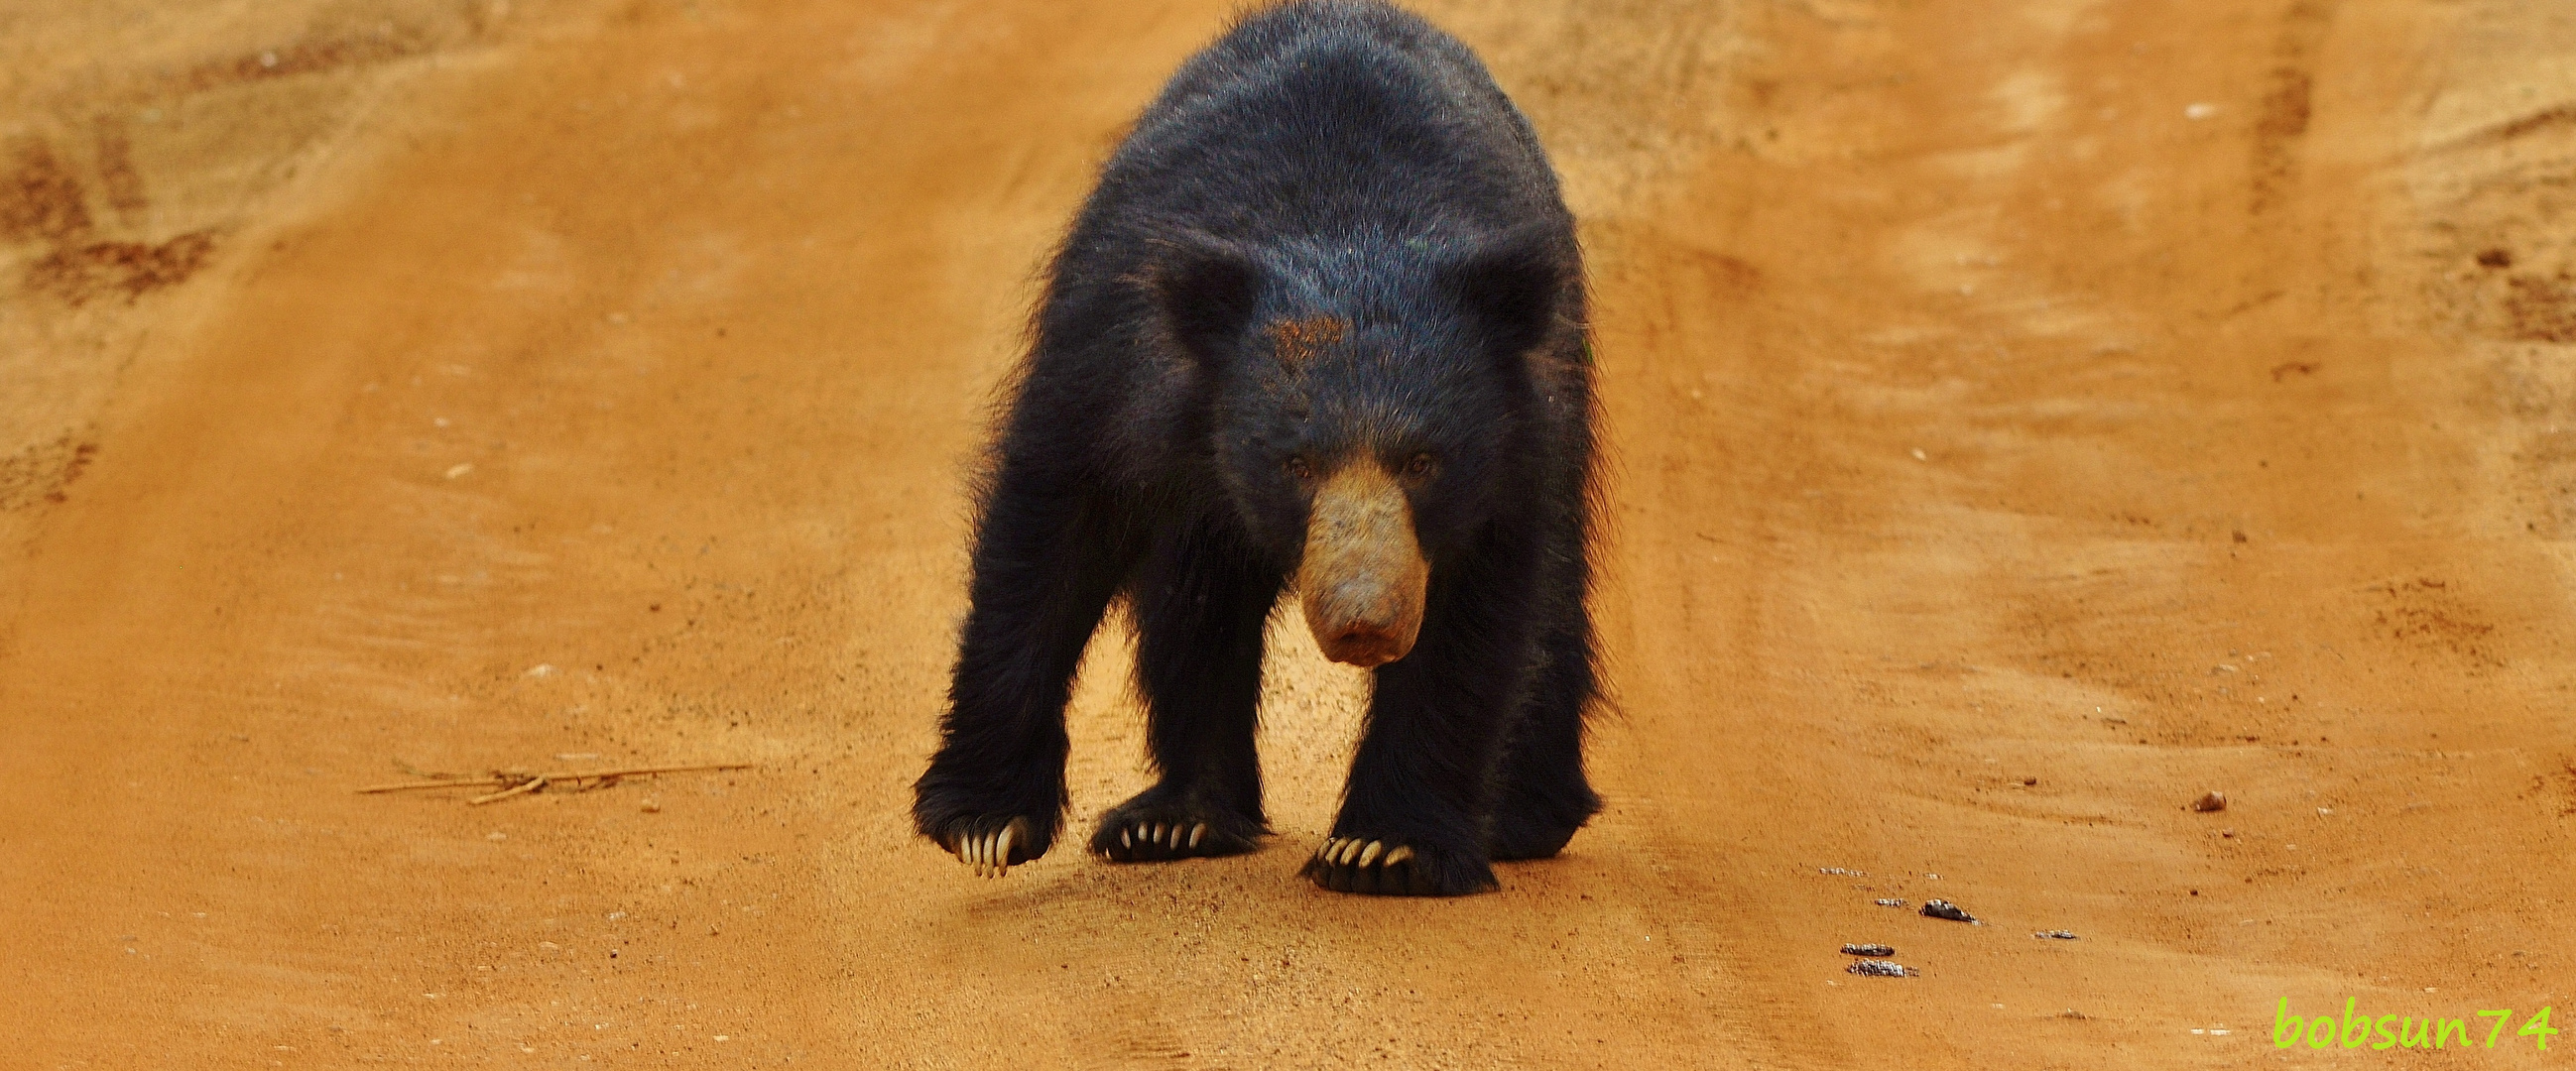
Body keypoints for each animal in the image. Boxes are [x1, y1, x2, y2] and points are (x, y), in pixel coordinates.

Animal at [907, 0, 1586, 895]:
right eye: (1296, 463)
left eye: (1422, 462)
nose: (1364, 622)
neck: (1346, 231)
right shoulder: (1108, 356)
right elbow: (1053, 532)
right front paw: (983, 824)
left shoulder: (1512, 449)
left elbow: (1476, 614)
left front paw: (1383, 848)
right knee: (1196, 600)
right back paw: (1174, 819)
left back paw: (1524, 817)